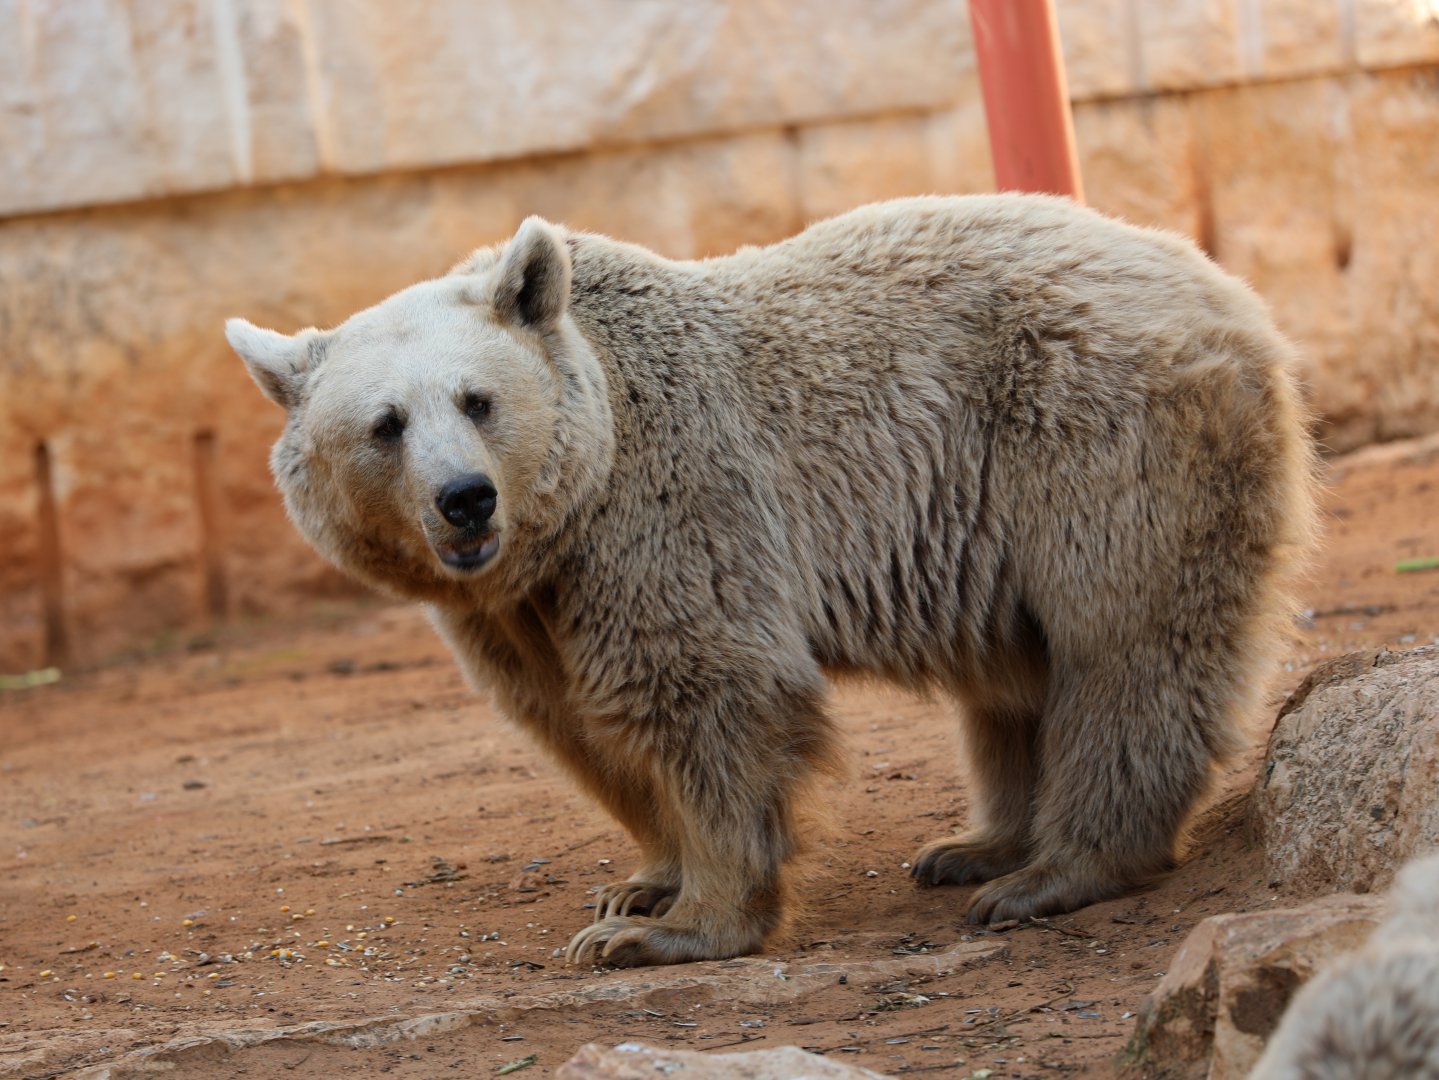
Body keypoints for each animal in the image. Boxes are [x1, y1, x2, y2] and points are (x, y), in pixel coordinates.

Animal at [225, 194, 1317, 968]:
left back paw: (1054, 869)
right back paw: (978, 844)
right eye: (384, 425)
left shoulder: (672, 502)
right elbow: (578, 723)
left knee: (1121, 644)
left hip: (1090, 434)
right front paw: (638, 884)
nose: (464, 500)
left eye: (476, 399)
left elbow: (708, 693)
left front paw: (664, 930)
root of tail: (1229, 293)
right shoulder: (516, 610)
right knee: (1019, 676)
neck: (571, 510)